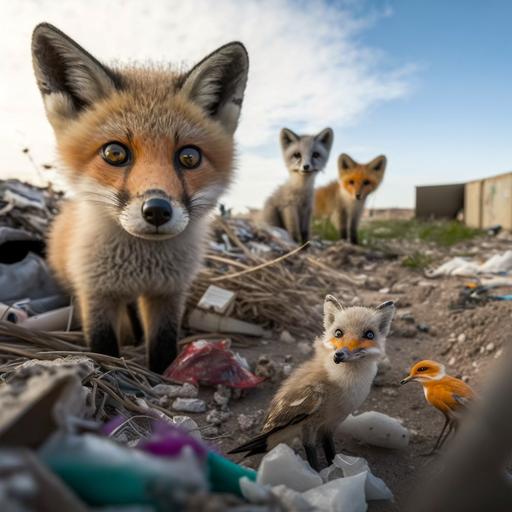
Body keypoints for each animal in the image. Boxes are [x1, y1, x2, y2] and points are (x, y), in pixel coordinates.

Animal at [31, 23, 249, 372]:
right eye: (115, 153)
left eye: (189, 157)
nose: (157, 210)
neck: (141, 267)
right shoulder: (96, 293)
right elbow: (103, 345)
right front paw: (109, 366)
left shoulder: (168, 294)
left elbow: (163, 345)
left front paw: (166, 373)